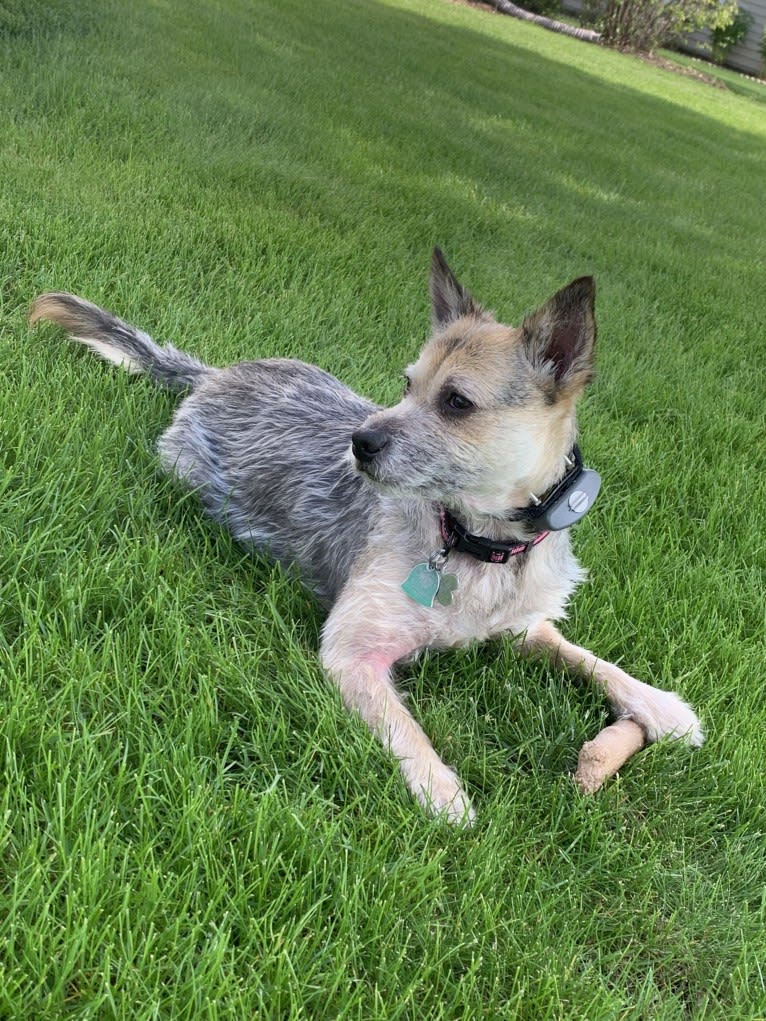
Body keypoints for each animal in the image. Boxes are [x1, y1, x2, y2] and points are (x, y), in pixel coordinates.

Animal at [30, 249, 706, 820]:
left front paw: (661, 706)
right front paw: (441, 789)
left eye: (456, 402)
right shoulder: (354, 653)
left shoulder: (522, 626)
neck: (477, 544)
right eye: (407, 384)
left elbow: (585, 656)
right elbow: (403, 726)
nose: (359, 441)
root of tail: (214, 375)